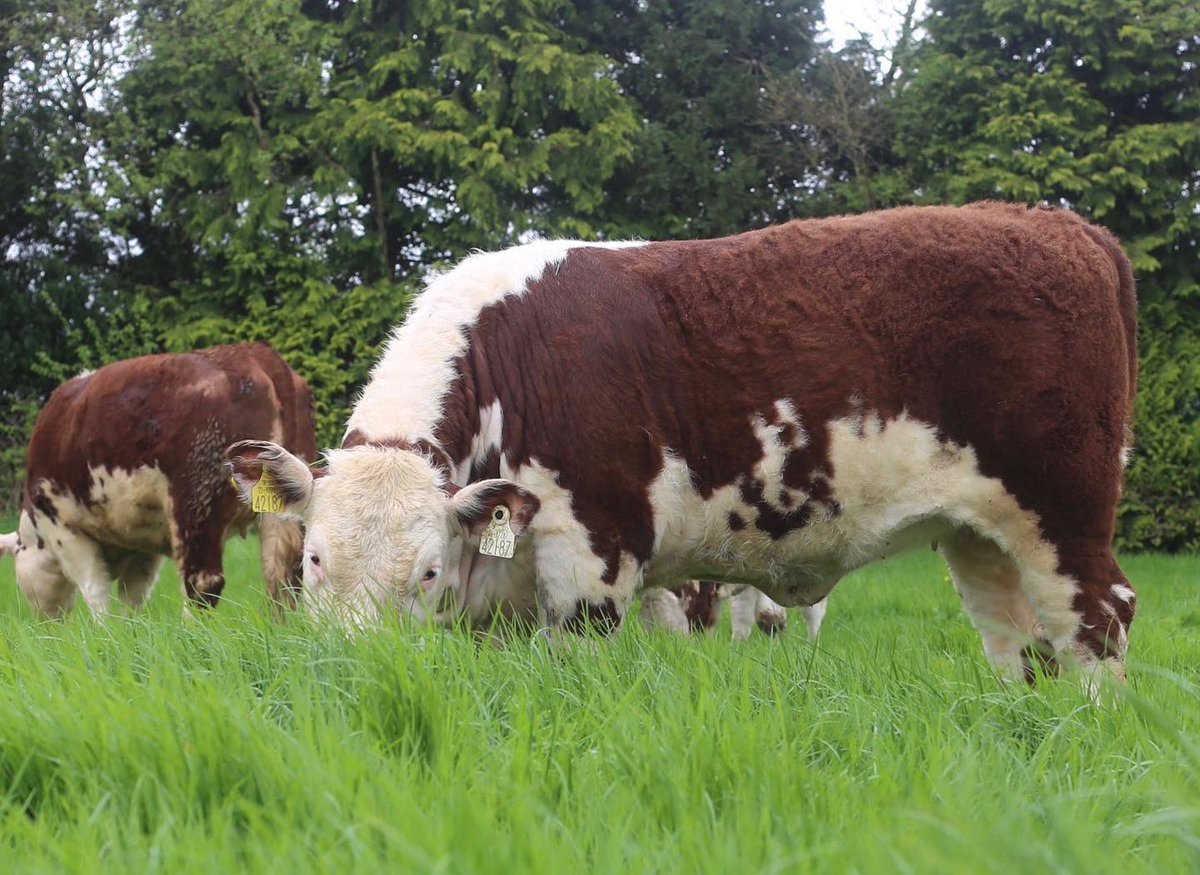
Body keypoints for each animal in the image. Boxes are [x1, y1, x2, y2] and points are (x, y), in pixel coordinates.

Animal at [4, 340, 314, 614]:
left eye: (20, 553)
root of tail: (256, 354)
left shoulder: (63, 527)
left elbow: (95, 592)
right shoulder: (142, 543)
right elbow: (133, 596)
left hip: (197, 506)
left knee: (202, 583)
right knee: (283, 577)